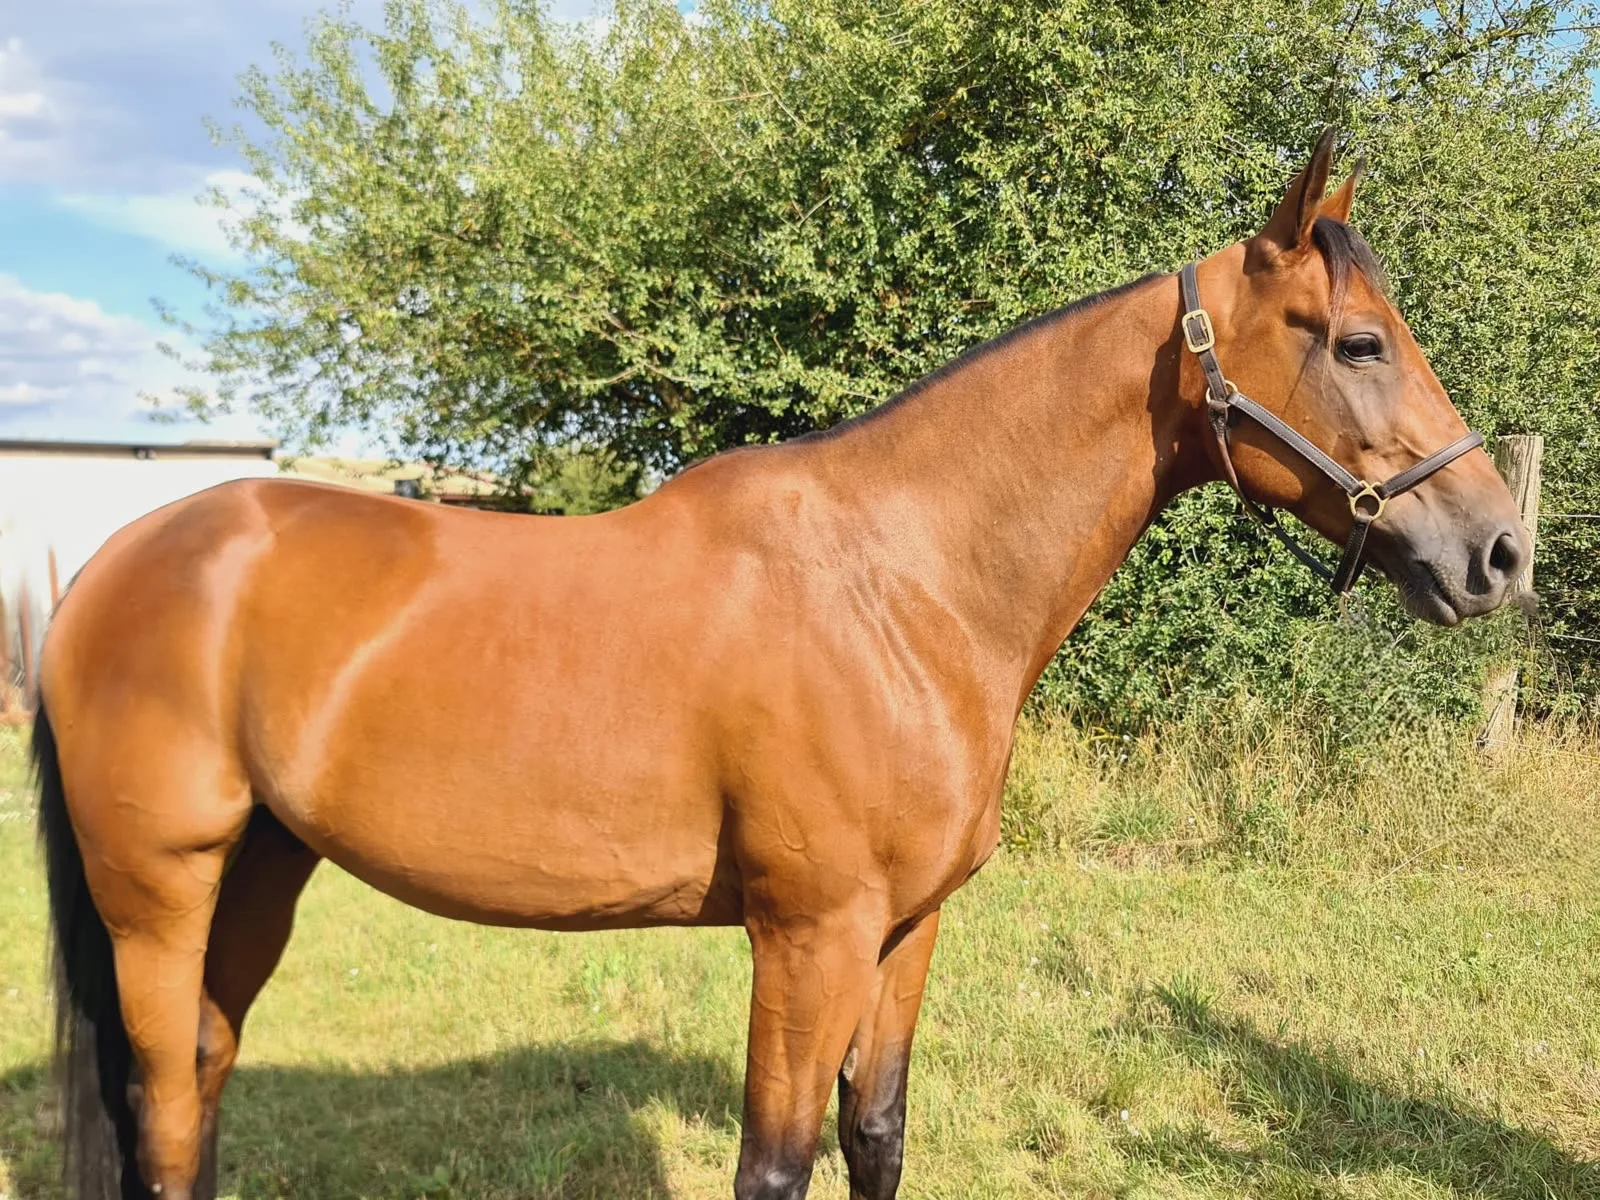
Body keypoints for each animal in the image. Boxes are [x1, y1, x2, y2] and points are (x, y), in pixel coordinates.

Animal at [34, 129, 1529, 1200]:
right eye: (1359, 342)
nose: (1497, 551)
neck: (903, 585)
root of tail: (110, 567)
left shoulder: (906, 930)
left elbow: (877, 1135)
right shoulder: (807, 939)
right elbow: (775, 1164)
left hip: (260, 872)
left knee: (205, 1079)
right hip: (158, 892)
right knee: (163, 1104)